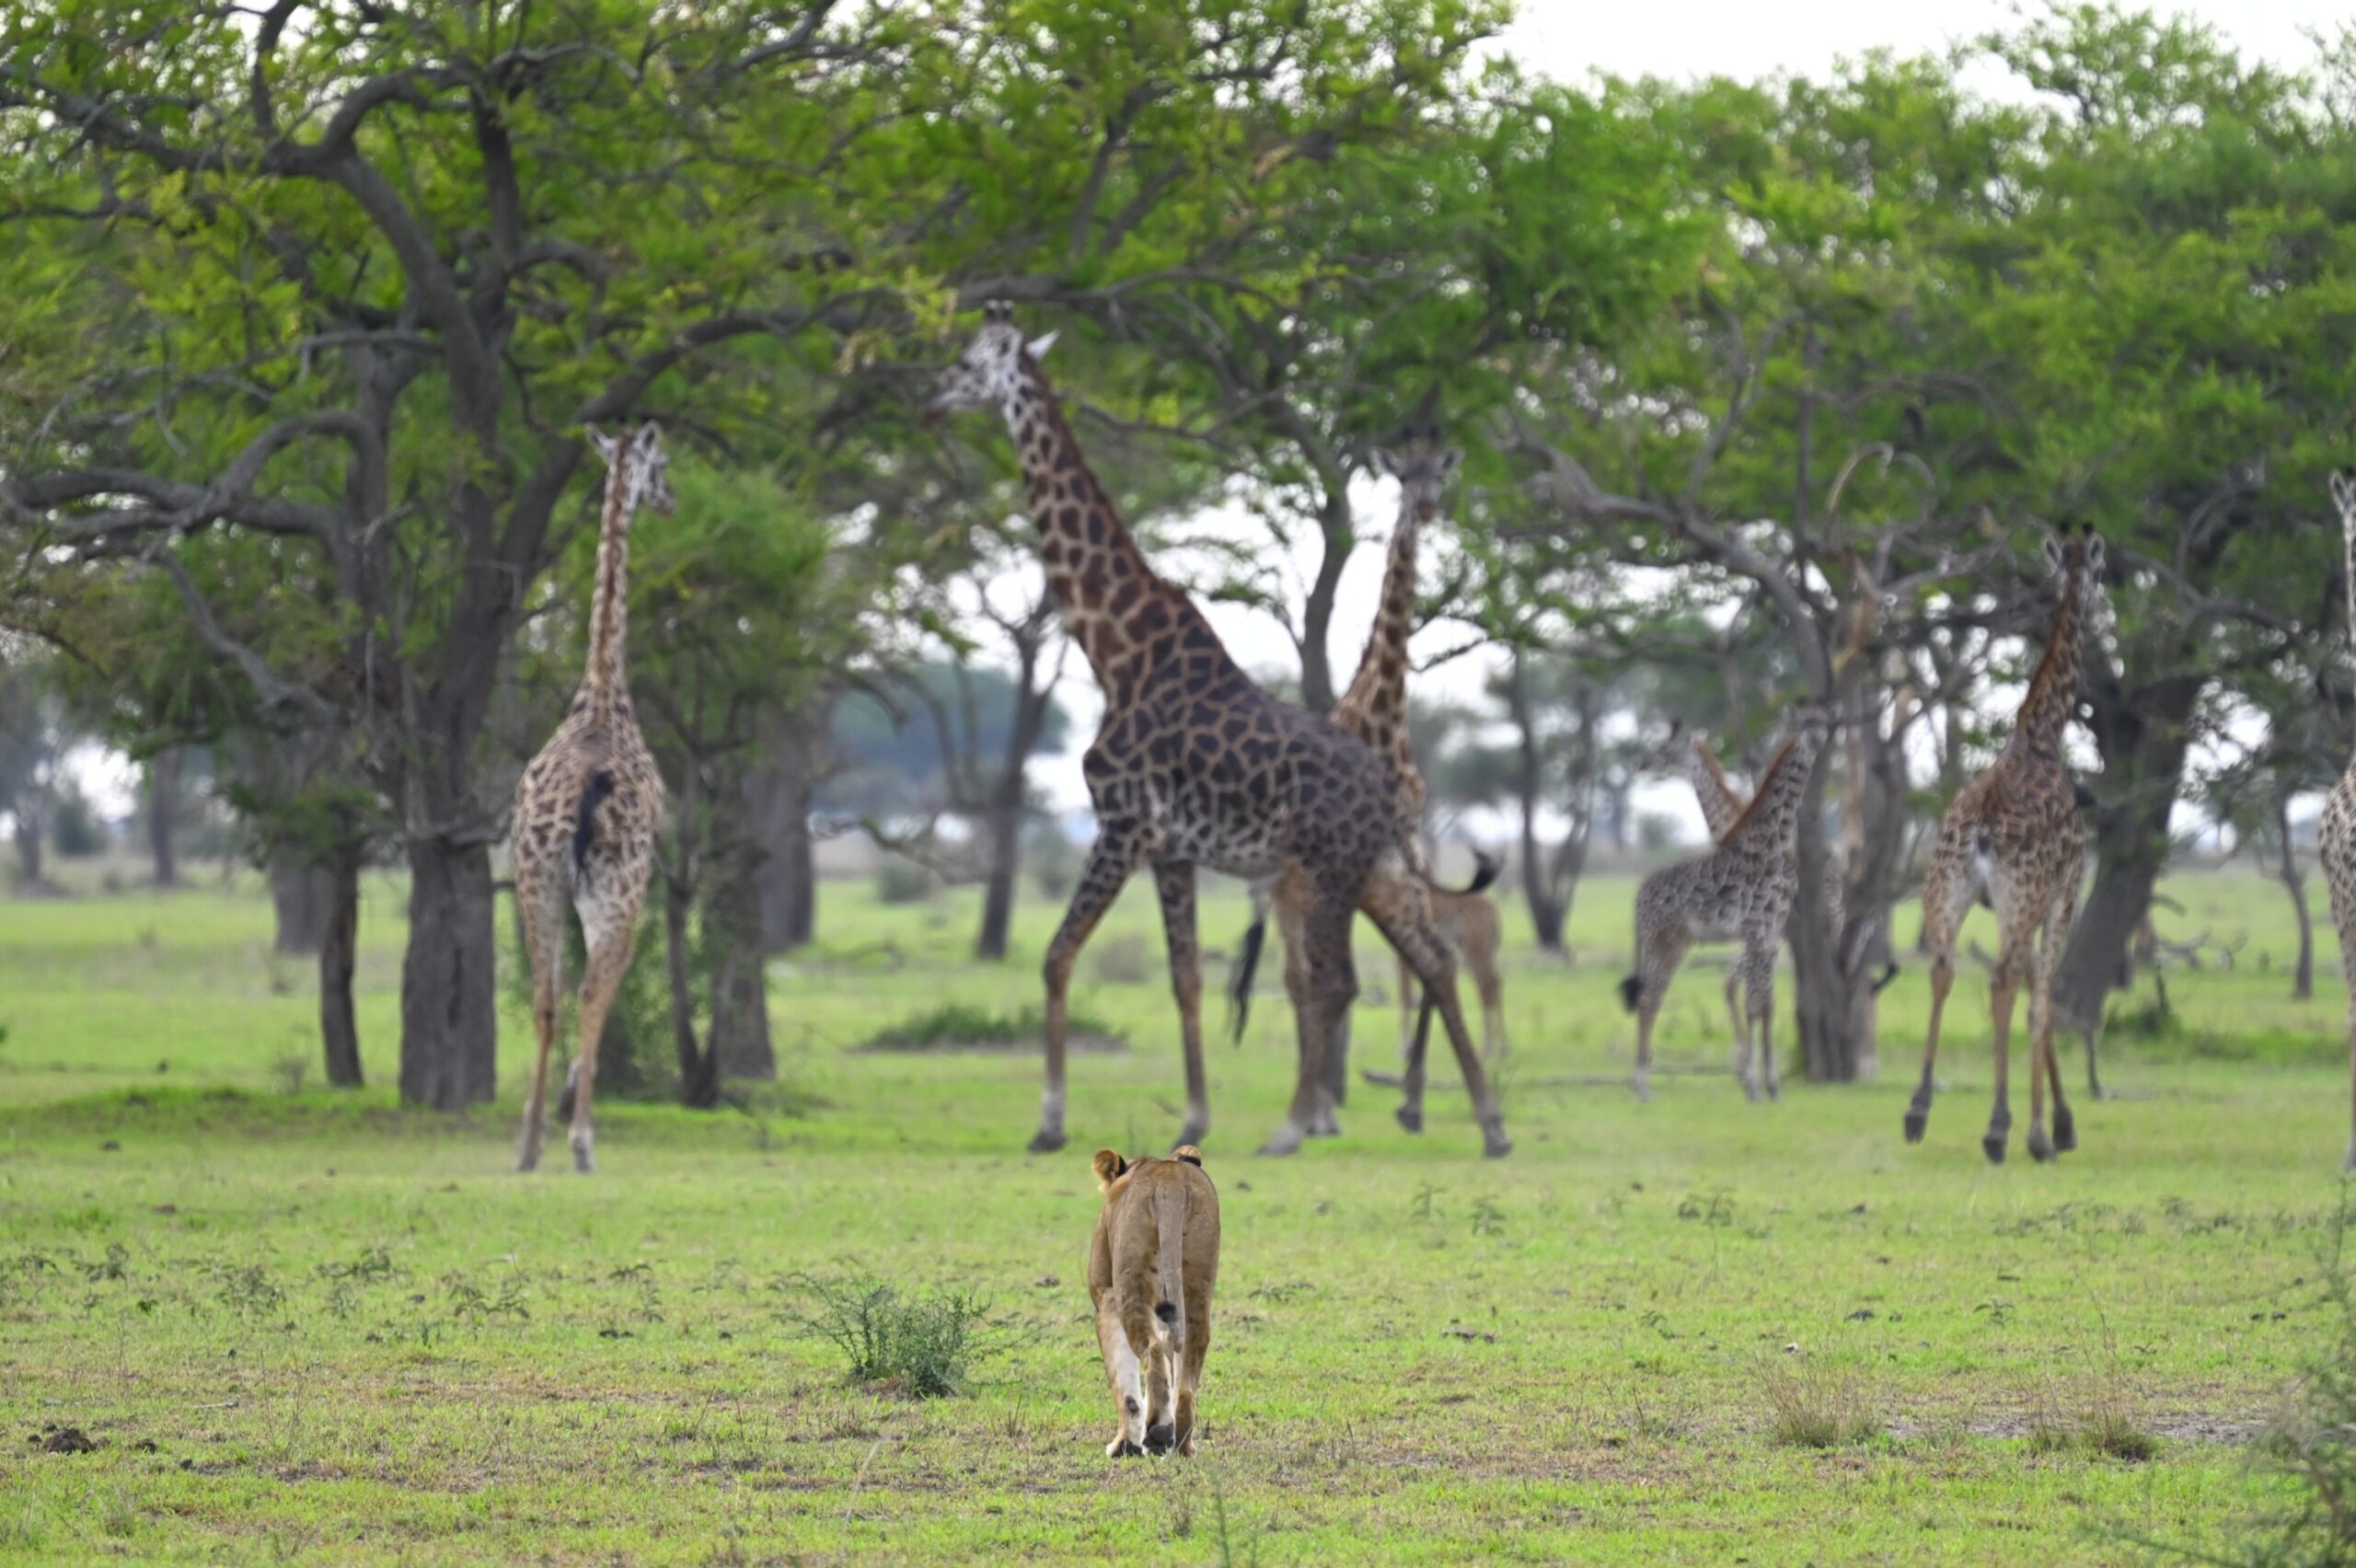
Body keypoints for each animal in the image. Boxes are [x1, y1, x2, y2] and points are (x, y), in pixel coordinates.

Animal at [1087, 1144, 1219, 1457]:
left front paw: (1124, 1445)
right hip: (1196, 1287)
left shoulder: (1106, 1299)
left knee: (1153, 1350)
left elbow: (1125, 1387)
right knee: (1186, 1378)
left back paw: (1158, 1435)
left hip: (1130, 1284)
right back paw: (1182, 1446)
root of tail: (1170, 1183)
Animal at [1219, 415, 1509, 1120]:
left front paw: (1414, 1099)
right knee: (1298, 975)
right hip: (1291, 893)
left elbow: (1429, 961)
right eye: (1402, 476)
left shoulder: (1408, 848)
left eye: (1441, 473)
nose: (1426, 508)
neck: (1386, 722)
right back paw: (1318, 1104)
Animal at [1616, 709, 1833, 1103]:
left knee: (1656, 996)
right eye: (1805, 725)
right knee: (1650, 998)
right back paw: (1641, 1085)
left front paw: (1769, 1084)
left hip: (1679, 942)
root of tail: (1638, 895)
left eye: (1824, 722)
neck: (1768, 844)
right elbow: (1754, 1001)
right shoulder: (1755, 929)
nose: (1642, 762)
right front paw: (1755, 1084)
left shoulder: (1768, 932)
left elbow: (1765, 1002)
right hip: (1661, 940)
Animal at [1904, 525, 2114, 1164]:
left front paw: (2058, 1123)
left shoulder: (2014, 903)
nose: (2105, 608)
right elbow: (2041, 1002)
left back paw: (1917, 1111)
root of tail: (1979, 831)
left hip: (1945, 890)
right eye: (2103, 573)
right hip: (2020, 898)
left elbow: (2029, 993)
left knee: (1943, 968)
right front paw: (2050, 1129)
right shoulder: (2062, 892)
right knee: (2002, 981)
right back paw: (1999, 1128)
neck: (2041, 734)